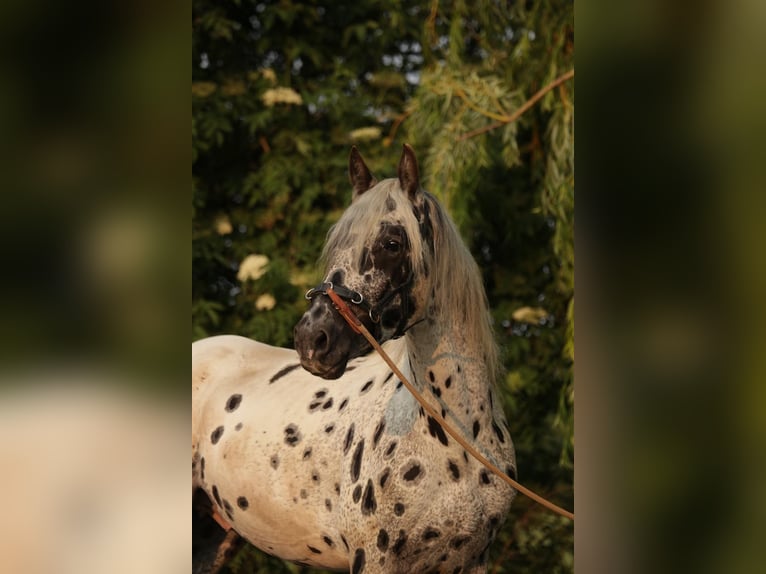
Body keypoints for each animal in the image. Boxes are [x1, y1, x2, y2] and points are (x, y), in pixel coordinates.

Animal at [192, 144, 517, 573]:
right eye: (336, 244)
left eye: (392, 243)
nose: (312, 338)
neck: (459, 438)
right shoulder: (373, 559)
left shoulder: (473, 561)